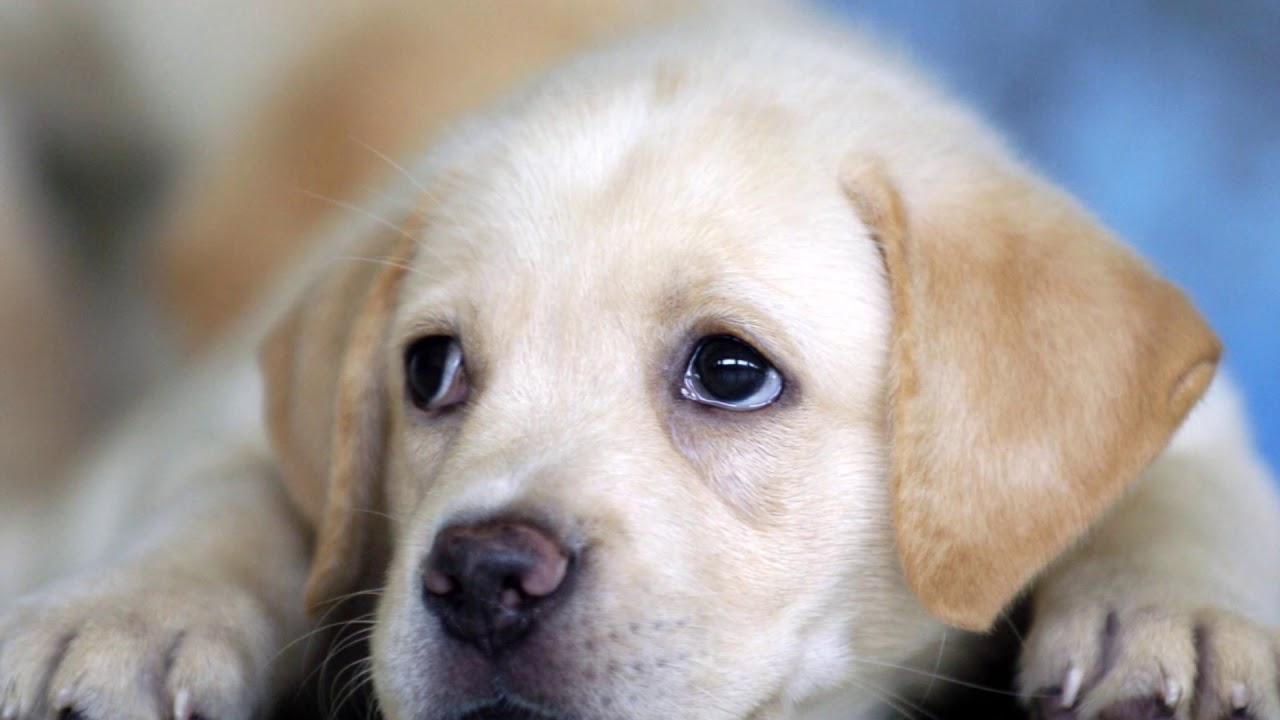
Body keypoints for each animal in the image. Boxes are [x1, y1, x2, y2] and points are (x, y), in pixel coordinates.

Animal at [2, 5, 1280, 717]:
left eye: (729, 372)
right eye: (429, 373)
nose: (480, 576)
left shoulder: (1198, 413)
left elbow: (1183, 487)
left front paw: (1174, 617)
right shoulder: (203, 411)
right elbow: (227, 493)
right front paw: (132, 616)